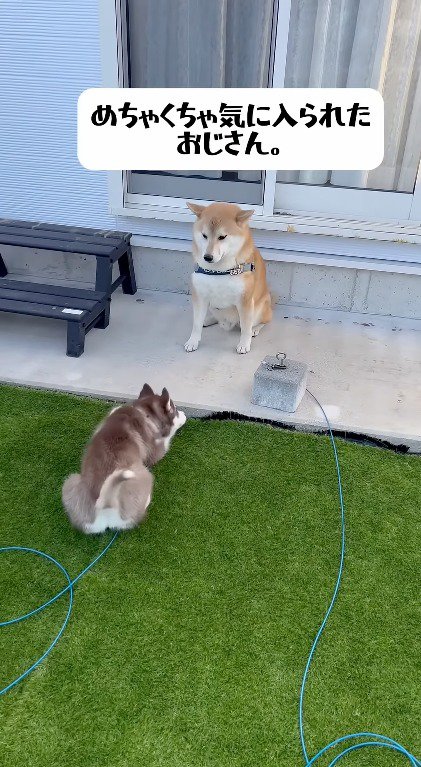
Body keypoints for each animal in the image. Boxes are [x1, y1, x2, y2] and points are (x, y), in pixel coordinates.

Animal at [62, 384, 185, 536]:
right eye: (175, 410)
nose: (184, 413)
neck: (145, 413)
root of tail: (106, 506)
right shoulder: (157, 451)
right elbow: (167, 439)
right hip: (145, 474)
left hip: (70, 481)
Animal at [185, 198, 272, 354]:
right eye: (204, 235)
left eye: (222, 237)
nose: (207, 257)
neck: (219, 271)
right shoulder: (199, 296)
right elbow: (196, 324)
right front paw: (193, 341)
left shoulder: (245, 300)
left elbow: (245, 328)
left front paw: (244, 344)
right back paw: (208, 320)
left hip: (261, 307)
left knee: (263, 321)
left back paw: (255, 329)